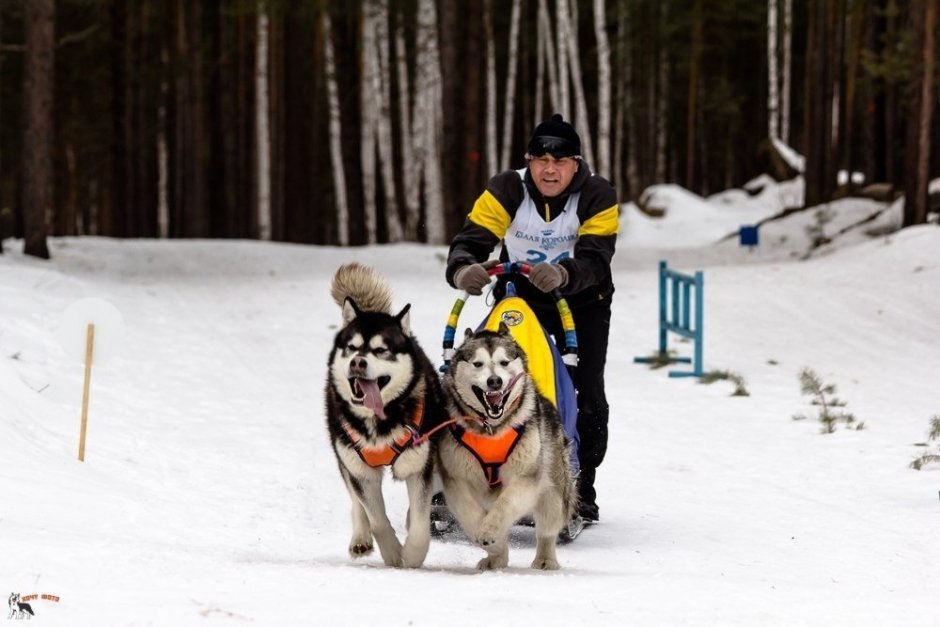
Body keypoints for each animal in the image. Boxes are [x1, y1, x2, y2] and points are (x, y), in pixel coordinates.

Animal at [326, 262, 448, 568]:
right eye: (351, 347)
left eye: (381, 350)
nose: (357, 362)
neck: (379, 419)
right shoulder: (360, 470)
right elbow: (376, 517)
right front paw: (393, 553)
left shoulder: (420, 465)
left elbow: (420, 518)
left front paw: (413, 554)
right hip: (346, 458)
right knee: (357, 504)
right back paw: (360, 538)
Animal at [436, 326, 576, 572]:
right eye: (478, 364)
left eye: (504, 362)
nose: (495, 381)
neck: (492, 429)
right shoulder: (456, 480)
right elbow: (469, 512)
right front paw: (493, 544)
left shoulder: (525, 478)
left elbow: (505, 505)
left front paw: (489, 531)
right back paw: (496, 558)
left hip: (553, 490)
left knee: (547, 528)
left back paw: (546, 559)